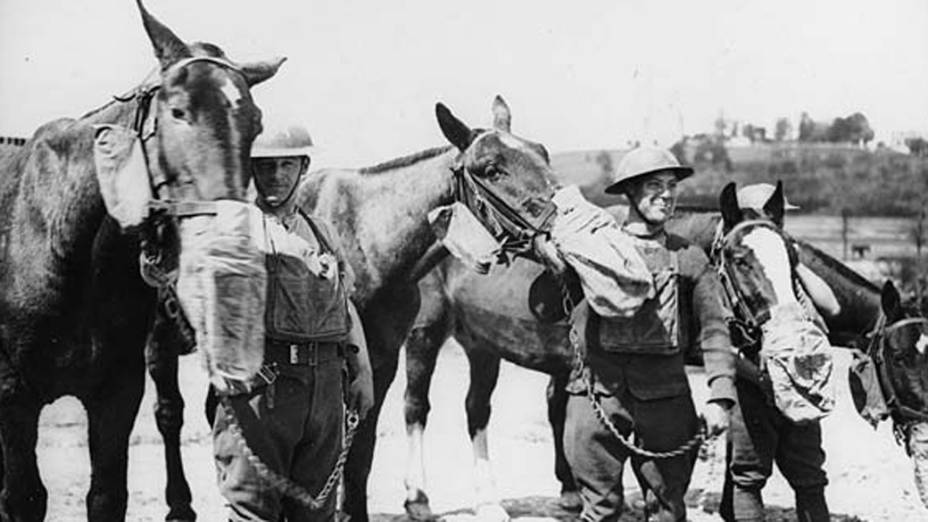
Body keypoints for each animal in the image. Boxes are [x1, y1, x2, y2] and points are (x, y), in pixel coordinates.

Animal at [0, 2, 282, 516]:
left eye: (255, 122)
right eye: (178, 111)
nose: (228, 241)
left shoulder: (117, 393)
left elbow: (108, 495)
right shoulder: (13, 398)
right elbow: (24, 498)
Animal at [400, 183, 928, 516]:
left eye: (793, 257)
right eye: (899, 357)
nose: (923, 434)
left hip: (481, 344)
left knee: (479, 409)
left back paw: (507, 498)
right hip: (426, 334)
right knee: (416, 407)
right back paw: (419, 498)